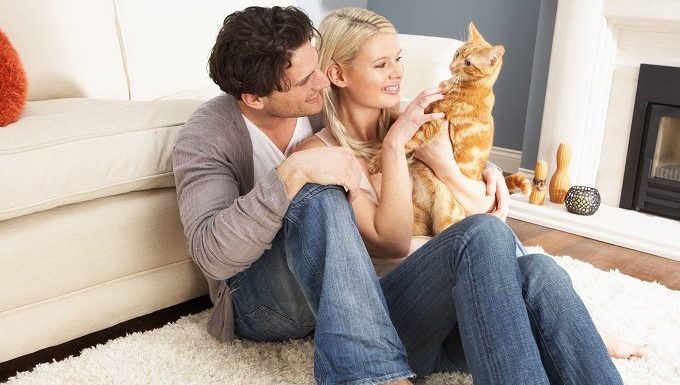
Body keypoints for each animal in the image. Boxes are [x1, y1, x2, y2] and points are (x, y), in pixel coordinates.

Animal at [374, 23, 528, 237]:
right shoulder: (423, 111)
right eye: (457, 54)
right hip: (416, 217)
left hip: (446, 215)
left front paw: (375, 163)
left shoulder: (430, 123)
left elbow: (405, 138)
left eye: (468, 63)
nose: (452, 67)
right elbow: (397, 118)